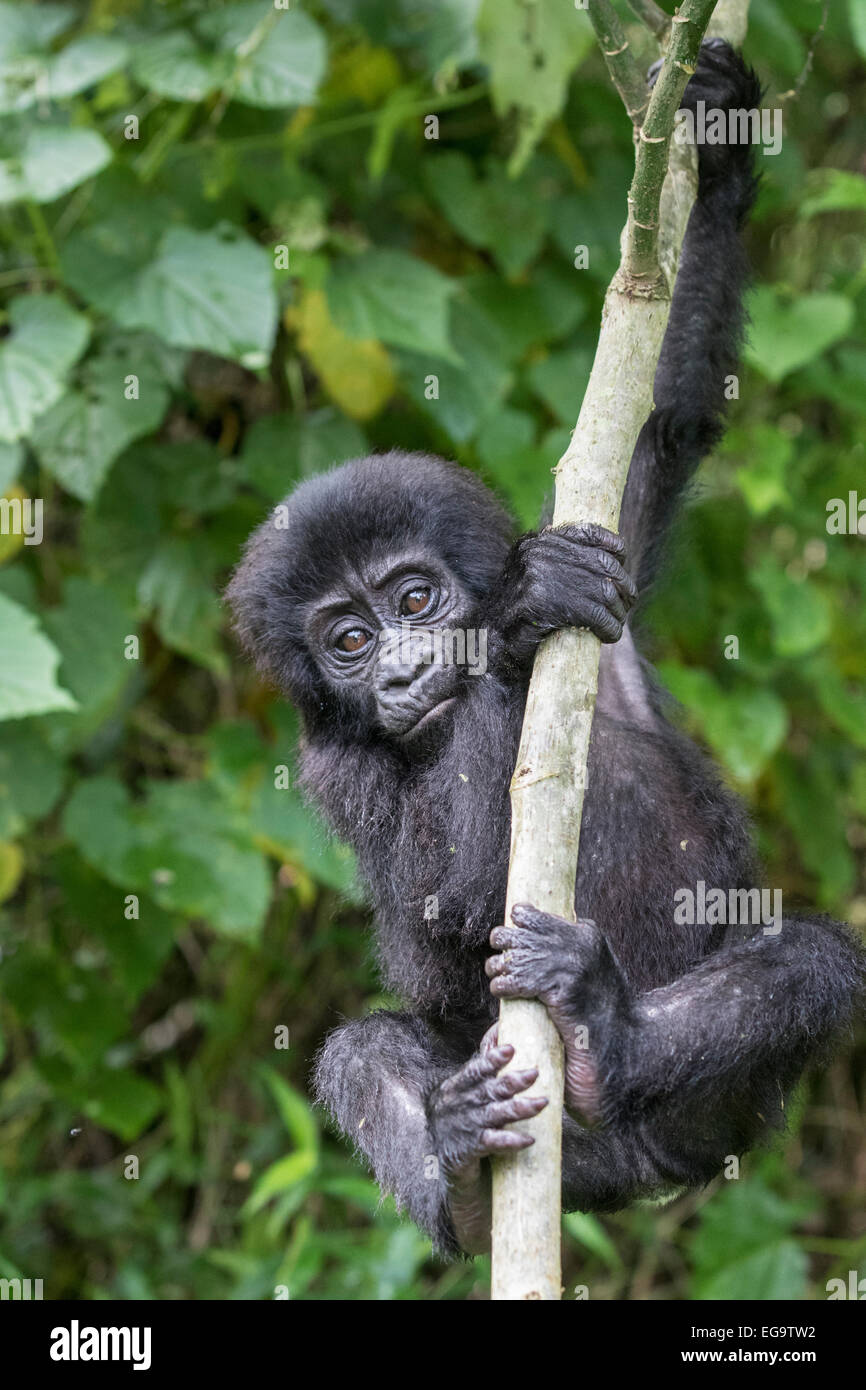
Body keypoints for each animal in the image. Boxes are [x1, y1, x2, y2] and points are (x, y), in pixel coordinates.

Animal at [226, 43, 861, 1262]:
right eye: (346, 640)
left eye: (415, 596)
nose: (400, 668)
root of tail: (649, 1177)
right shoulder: (331, 766)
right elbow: (438, 921)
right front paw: (518, 615)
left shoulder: (607, 548)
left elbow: (666, 418)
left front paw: (715, 141)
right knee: (364, 1049)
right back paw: (465, 1172)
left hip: (717, 1118)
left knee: (815, 962)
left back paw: (610, 1035)